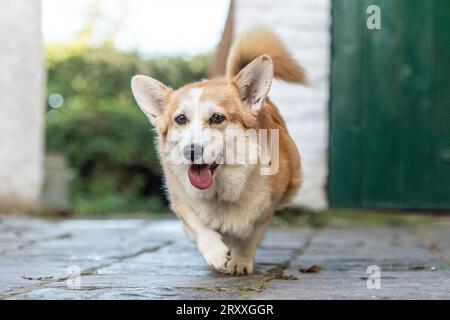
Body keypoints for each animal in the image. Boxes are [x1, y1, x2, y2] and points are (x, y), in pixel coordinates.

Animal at [131, 28, 306, 276]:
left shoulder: (265, 210)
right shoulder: (181, 202)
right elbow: (198, 225)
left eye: (217, 118)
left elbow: (249, 238)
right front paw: (216, 253)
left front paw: (240, 262)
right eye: (180, 119)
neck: (220, 191)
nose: (191, 151)